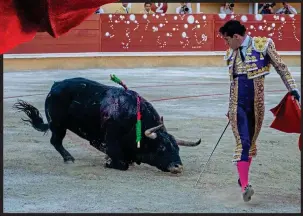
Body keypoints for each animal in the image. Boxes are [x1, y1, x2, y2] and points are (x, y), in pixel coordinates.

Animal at [13, 77, 202, 174]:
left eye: (177, 148)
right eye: (162, 148)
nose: (178, 167)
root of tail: (55, 86)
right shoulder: (111, 140)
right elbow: (121, 163)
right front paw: (108, 162)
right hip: (58, 125)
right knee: (56, 141)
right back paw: (69, 158)